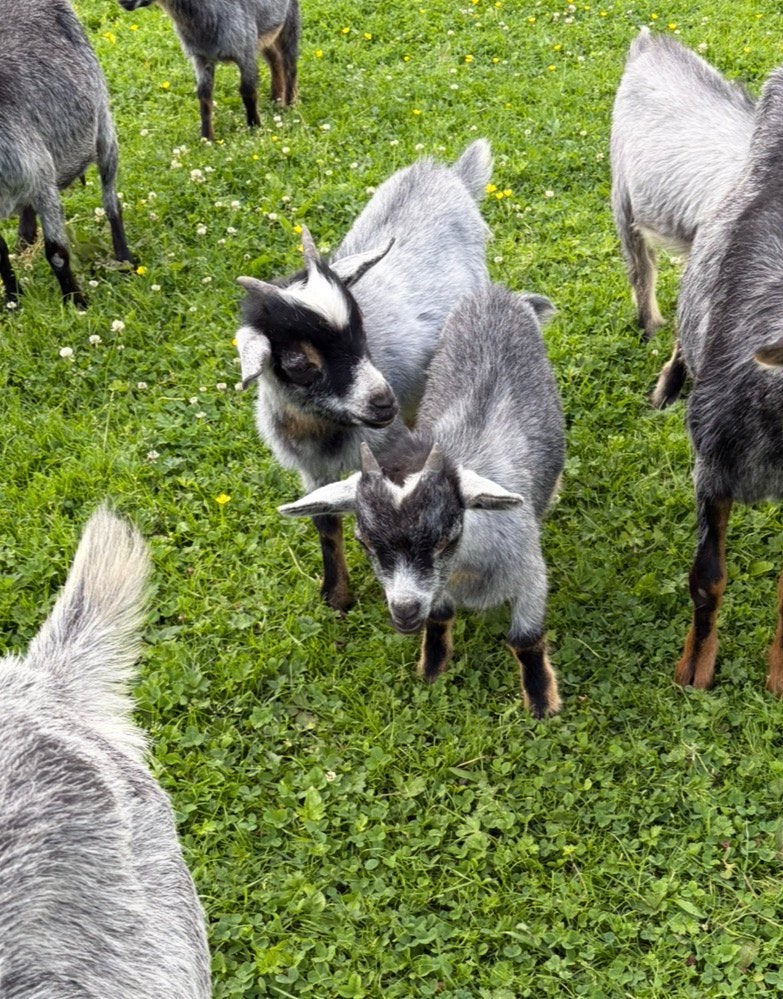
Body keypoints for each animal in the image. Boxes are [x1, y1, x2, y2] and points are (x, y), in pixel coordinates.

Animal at [0, 0, 134, 308]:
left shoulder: (42, 184)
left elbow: (57, 253)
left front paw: (76, 303)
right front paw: (12, 302)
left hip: (103, 127)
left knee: (111, 200)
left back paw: (125, 260)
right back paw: (25, 237)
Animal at [118, 0, 299, 140]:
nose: (123, 2)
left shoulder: (245, 50)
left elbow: (248, 91)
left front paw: (255, 127)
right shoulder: (201, 58)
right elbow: (204, 96)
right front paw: (207, 138)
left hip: (289, 19)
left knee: (289, 65)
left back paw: (290, 105)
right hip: (266, 34)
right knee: (275, 59)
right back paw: (276, 100)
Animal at [236, 140, 492, 611]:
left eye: (361, 328)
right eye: (298, 361)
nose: (383, 401)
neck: (324, 433)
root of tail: (443, 173)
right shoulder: (313, 473)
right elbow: (324, 520)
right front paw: (337, 596)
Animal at [280, 284, 565, 718]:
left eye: (448, 538)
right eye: (365, 541)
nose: (404, 611)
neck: (466, 570)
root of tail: (498, 294)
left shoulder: (531, 575)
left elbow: (525, 639)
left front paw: (541, 701)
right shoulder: (437, 589)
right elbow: (440, 617)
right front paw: (432, 666)